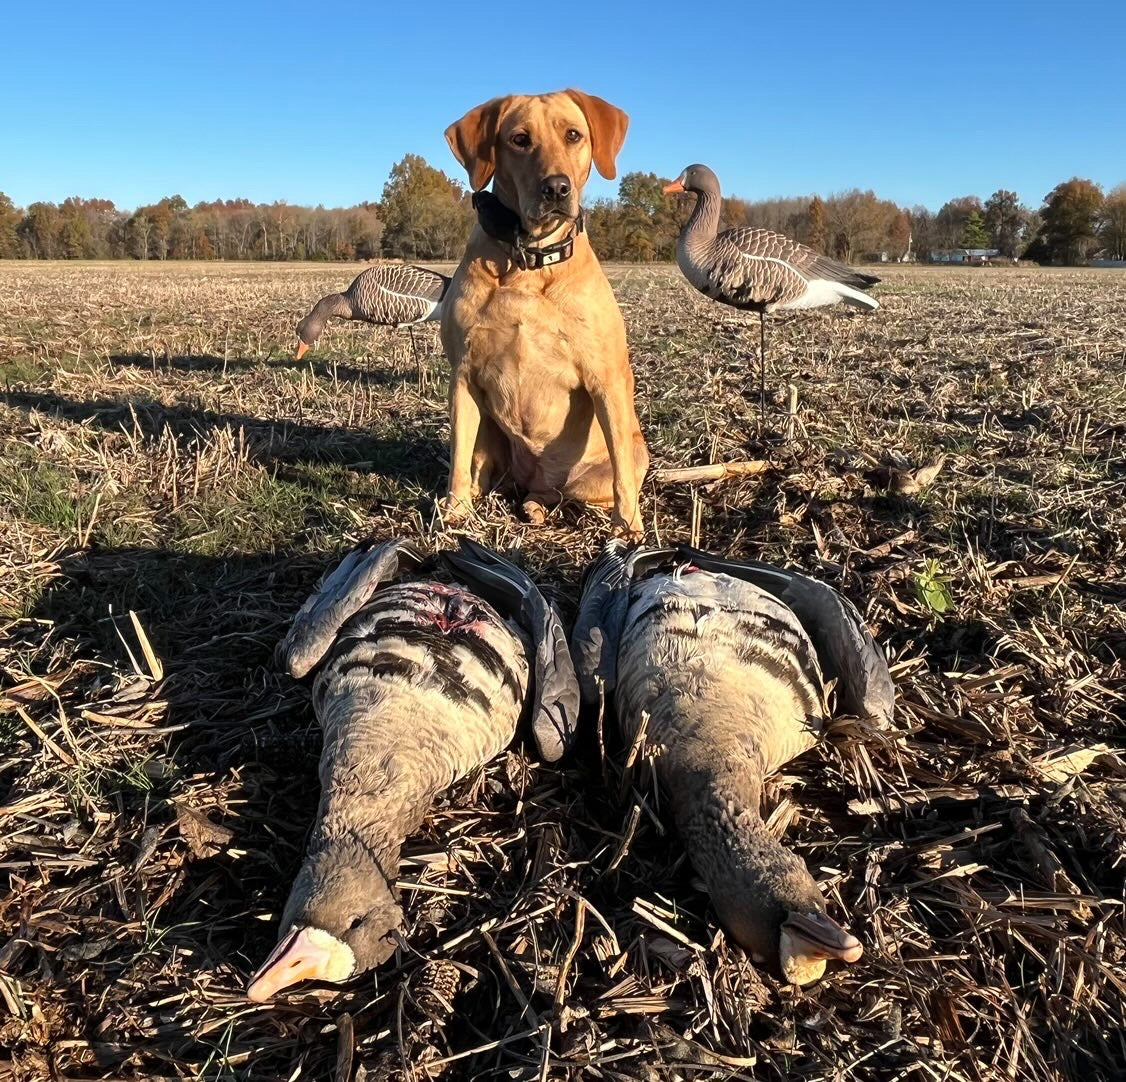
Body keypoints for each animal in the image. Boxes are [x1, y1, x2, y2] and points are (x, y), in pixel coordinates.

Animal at [441, 87, 653, 535]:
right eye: (520, 139)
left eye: (573, 135)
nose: (556, 188)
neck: (529, 261)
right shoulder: (462, 376)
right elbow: (458, 461)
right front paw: (455, 514)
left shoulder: (606, 378)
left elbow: (623, 476)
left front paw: (628, 528)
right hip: (492, 439)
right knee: (494, 474)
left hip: (622, 456)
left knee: (576, 490)